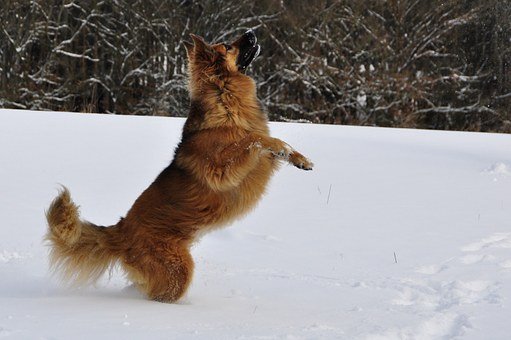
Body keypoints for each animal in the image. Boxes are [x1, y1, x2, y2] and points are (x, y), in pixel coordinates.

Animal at [47, 30, 312, 302]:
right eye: (228, 46)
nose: (250, 32)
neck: (223, 95)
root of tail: (120, 230)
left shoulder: (262, 161)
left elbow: (272, 143)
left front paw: (300, 158)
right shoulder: (221, 169)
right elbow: (254, 138)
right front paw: (280, 146)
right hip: (178, 268)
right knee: (162, 293)